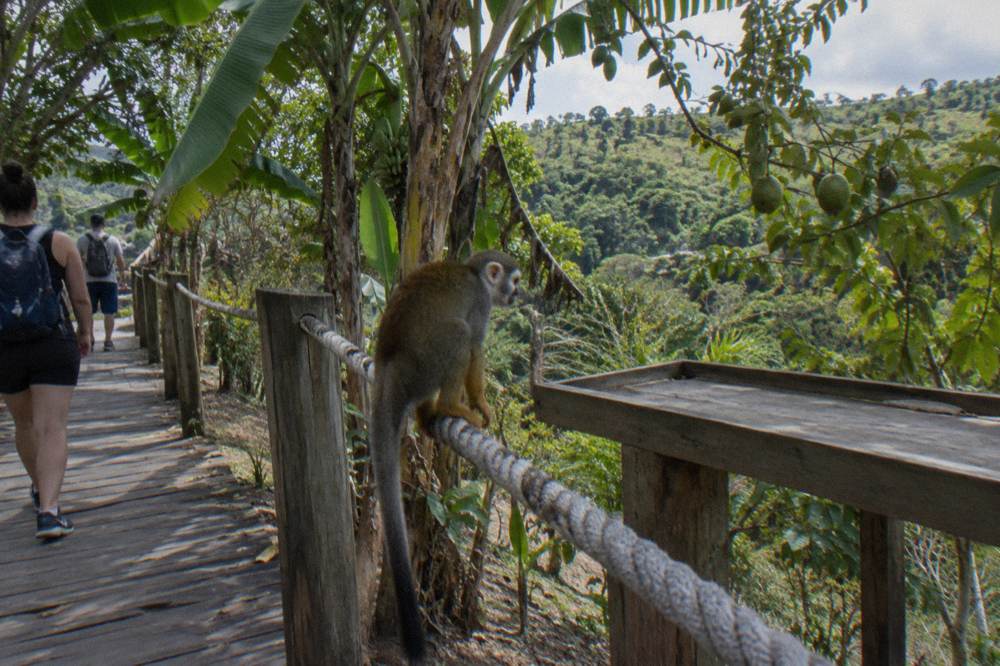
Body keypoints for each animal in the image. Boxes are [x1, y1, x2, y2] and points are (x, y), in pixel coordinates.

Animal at [370, 250, 521, 663]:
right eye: (514, 280)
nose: (517, 293)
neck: (474, 274)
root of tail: (388, 360)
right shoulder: (482, 303)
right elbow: (476, 348)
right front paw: (481, 404)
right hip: (425, 358)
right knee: (459, 334)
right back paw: (453, 406)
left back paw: (429, 414)